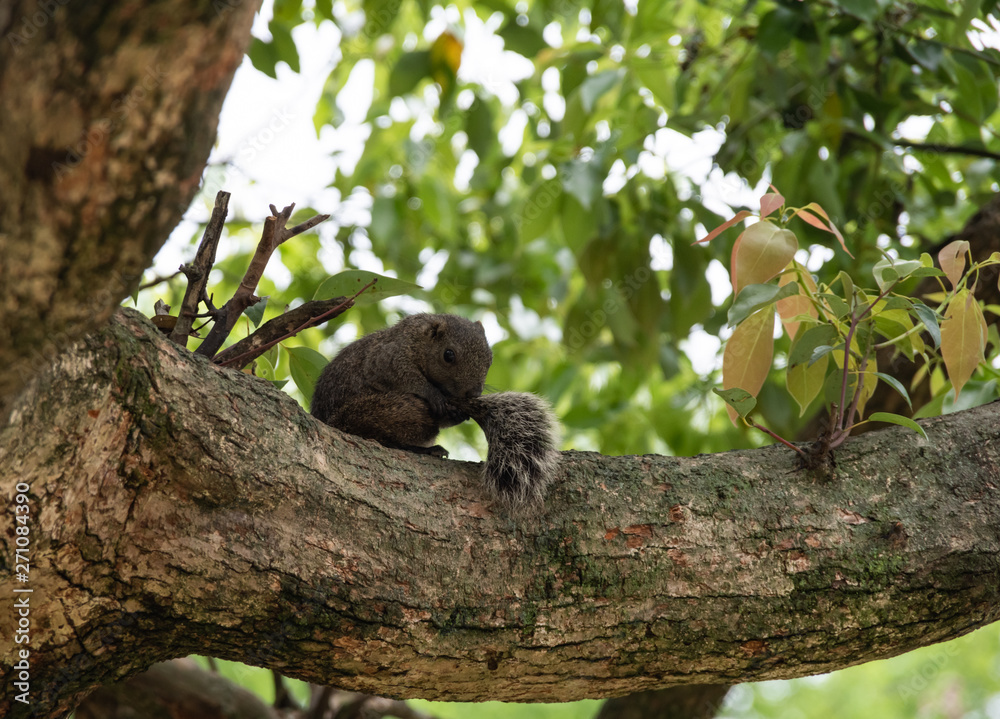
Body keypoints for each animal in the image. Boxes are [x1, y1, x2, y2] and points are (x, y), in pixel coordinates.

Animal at [310, 314, 560, 506]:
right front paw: (433, 395)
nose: (473, 393)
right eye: (448, 355)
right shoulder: (386, 360)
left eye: (490, 359)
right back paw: (423, 449)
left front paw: (458, 413)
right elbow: (409, 379)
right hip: (395, 411)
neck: (416, 340)